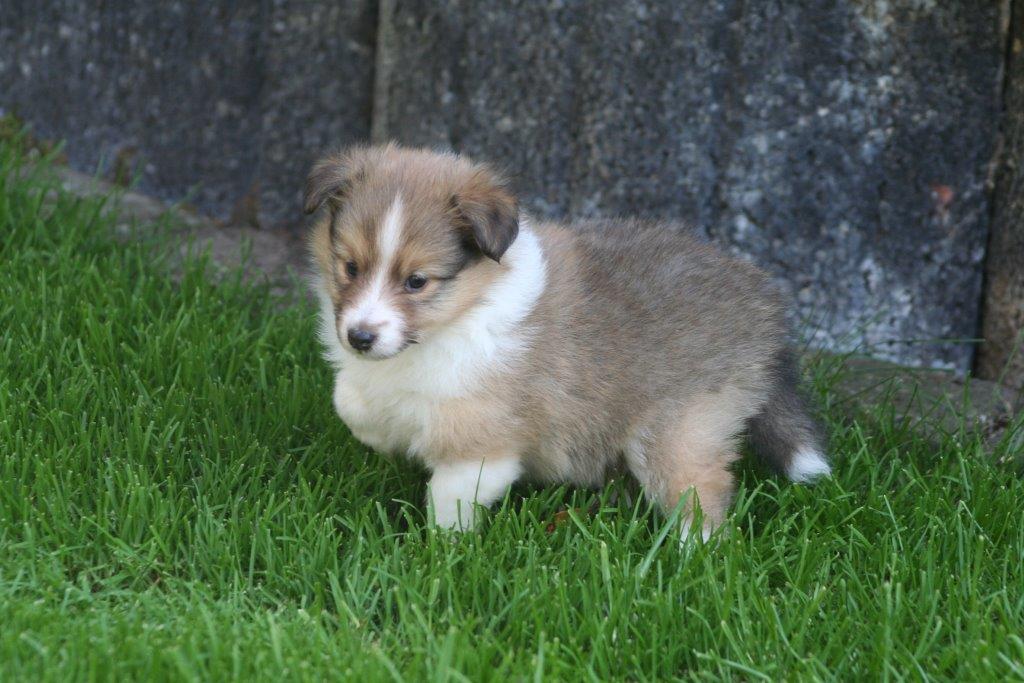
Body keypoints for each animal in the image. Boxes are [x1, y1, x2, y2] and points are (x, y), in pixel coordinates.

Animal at [305, 144, 830, 539]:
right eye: (350, 267)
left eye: (417, 281)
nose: (360, 337)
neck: (460, 314)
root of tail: (764, 308)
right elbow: (350, 401)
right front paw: (381, 430)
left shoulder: (483, 444)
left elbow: (448, 497)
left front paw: (440, 549)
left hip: (679, 429)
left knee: (703, 493)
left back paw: (690, 558)